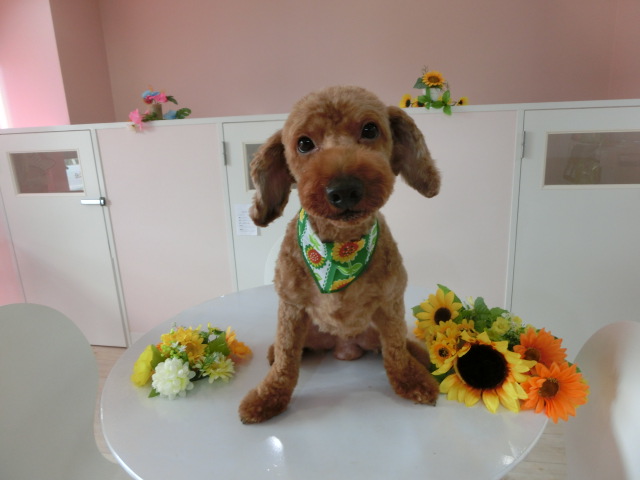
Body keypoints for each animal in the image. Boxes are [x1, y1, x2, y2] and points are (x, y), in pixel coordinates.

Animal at [238, 85, 441, 424]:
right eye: (304, 143)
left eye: (370, 129)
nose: (344, 189)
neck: (340, 251)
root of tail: (344, 347)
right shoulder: (291, 307)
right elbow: (286, 362)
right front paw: (267, 398)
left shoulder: (390, 302)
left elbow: (395, 351)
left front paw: (412, 381)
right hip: (310, 331)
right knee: (286, 350)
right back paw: (273, 352)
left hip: (374, 330)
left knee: (396, 343)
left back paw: (418, 354)